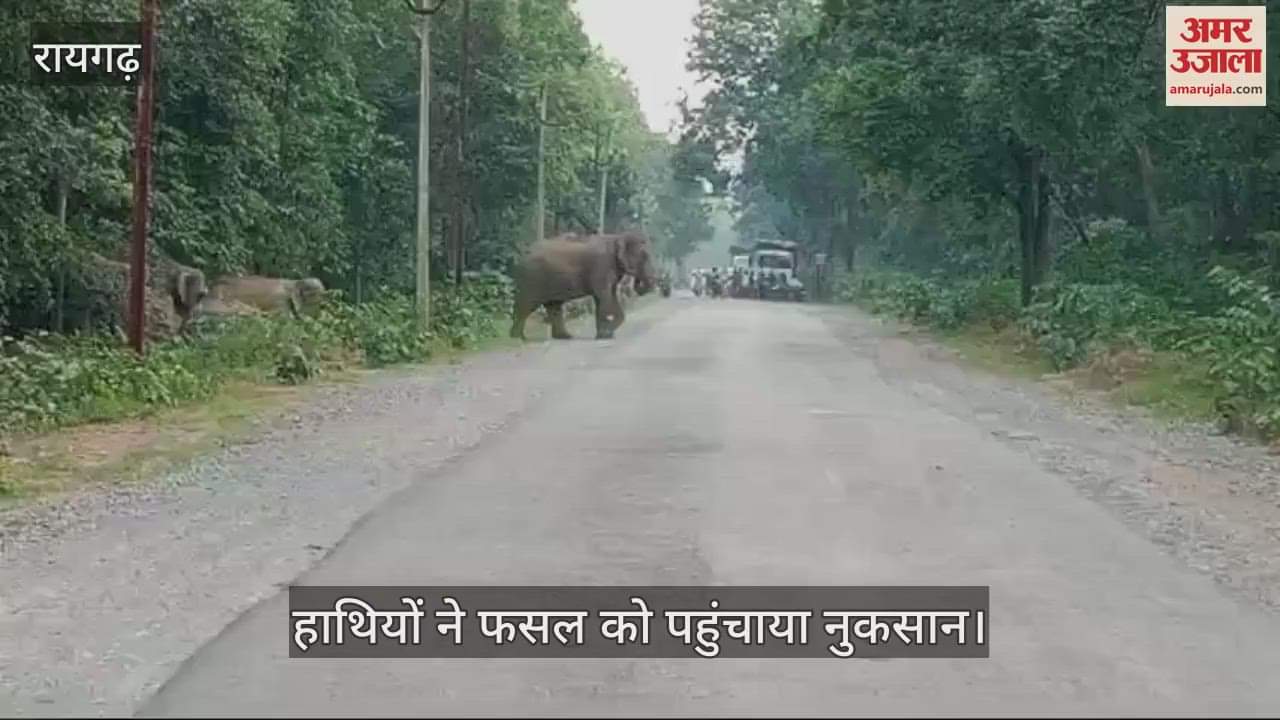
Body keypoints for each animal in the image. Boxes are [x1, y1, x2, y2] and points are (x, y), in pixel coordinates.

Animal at [509, 232, 657, 341]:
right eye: (644, 256)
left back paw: (565, 337)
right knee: (525, 305)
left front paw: (604, 336)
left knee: (554, 306)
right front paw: (606, 334)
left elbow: (606, 298)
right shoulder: (601, 267)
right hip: (532, 278)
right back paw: (517, 338)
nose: (638, 283)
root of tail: (521, 255)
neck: (618, 237)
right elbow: (605, 298)